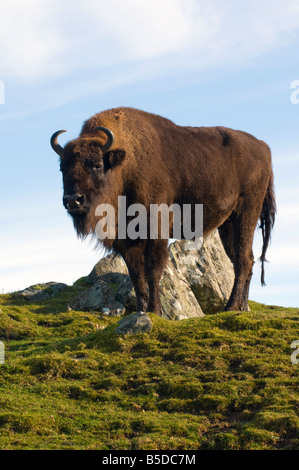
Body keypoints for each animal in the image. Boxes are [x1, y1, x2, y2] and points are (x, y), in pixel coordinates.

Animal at [51, 104, 276, 314]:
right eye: (62, 168)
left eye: (97, 165)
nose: (73, 200)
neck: (125, 165)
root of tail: (264, 147)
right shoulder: (126, 239)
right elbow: (136, 274)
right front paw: (142, 309)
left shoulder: (155, 228)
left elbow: (152, 268)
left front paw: (154, 310)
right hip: (227, 224)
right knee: (243, 259)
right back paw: (242, 307)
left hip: (246, 214)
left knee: (243, 259)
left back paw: (231, 307)